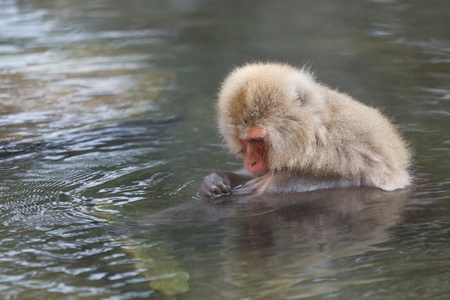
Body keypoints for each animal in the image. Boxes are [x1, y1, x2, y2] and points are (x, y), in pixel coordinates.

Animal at [200, 62, 412, 199]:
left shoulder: (347, 145)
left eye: (258, 140)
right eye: (242, 140)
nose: (250, 161)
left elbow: (358, 179)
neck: (312, 133)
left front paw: (275, 183)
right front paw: (216, 179)